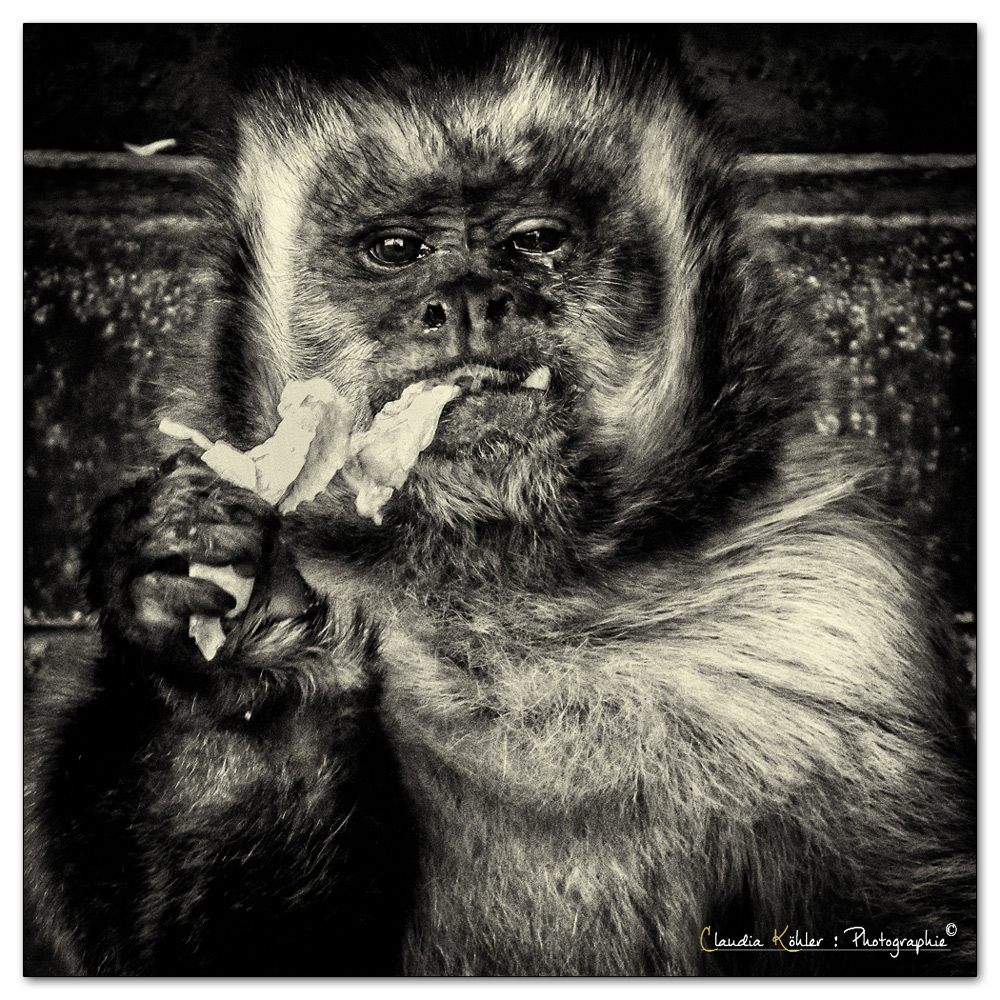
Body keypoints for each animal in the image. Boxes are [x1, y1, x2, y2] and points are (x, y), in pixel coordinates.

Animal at [24, 27, 975, 976]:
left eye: (536, 239)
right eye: (396, 250)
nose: (468, 299)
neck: (503, 578)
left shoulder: (841, 607)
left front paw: (248, 637)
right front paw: (233, 655)